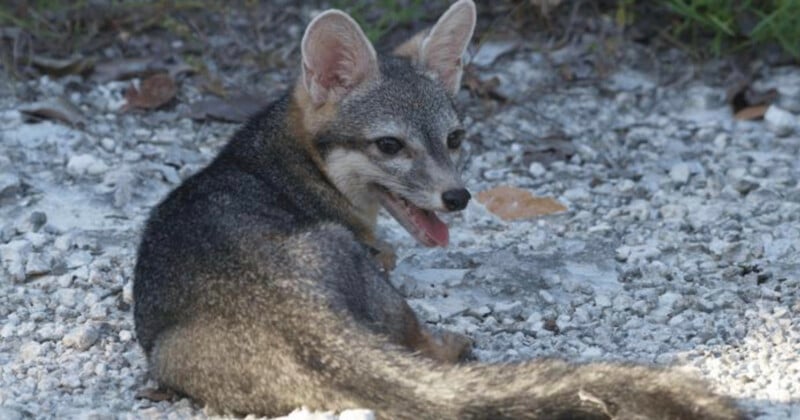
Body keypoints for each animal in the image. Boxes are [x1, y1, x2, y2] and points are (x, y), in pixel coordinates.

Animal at [133, 1, 744, 418]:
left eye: (454, 139)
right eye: (389, 146)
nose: (458, 197)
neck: (285, 160)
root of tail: (297, 312)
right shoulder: (377, 253)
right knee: (422, 345)